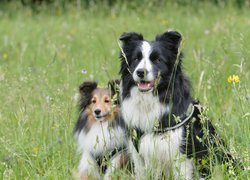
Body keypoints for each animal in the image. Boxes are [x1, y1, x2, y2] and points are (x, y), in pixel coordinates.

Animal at [118, 31, 237, 179]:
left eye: (157, 60)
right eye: (136, 59)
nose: (141, 72)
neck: (150, 100)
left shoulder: (181, 156)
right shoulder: (139, 157)